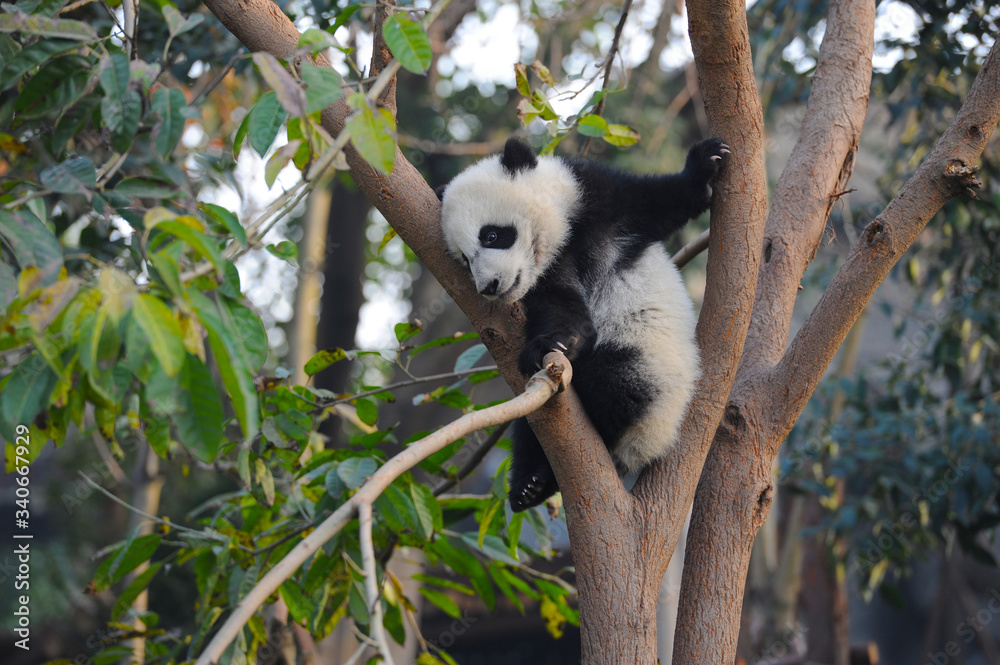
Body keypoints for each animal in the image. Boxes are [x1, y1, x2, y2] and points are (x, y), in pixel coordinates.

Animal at [439, 136, 728, 511]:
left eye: (491, 236)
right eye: (463, 258)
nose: (489, 286)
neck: (562, 241)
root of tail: (639, 453)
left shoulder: (600, 200)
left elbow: (660, 200)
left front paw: (707, 160)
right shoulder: (545, 281)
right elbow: (562, 309)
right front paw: (553, 343)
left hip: (652, 371)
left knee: (618, 383)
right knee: (530, 428)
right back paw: (531, 485)